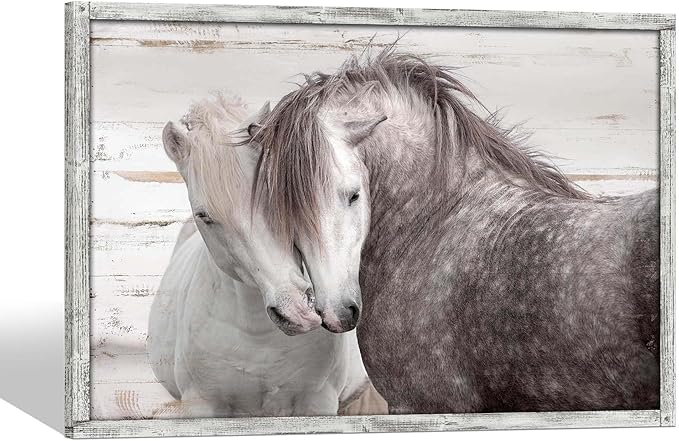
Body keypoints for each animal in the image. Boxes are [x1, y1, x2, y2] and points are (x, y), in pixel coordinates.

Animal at [146, 95, 386, 417]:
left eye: (276, 194)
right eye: (204, 216)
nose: (296, 311)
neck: (259, 337)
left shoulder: (317, 401)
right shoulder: (202, 404)